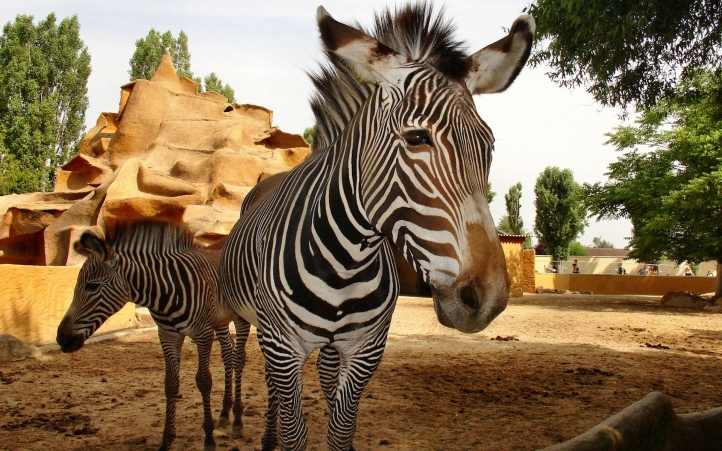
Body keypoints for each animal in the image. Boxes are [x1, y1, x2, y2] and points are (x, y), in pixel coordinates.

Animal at [55, 222, 250, 451]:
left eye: (92, 286)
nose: (61, 339)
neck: (165, 292)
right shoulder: (167, 335)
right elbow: (170, 384)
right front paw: (166, 441)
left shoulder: (202, 333)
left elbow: (204, 381)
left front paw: (209, 438)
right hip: (220, 320)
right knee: (228, 354)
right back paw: (225, 413)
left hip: (240, 315)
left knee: (238, 358)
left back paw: (237, 419)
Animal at [217, 4, 532, 451]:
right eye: (417, 138)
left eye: (487, 146)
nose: (486, 299)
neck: (345, 260)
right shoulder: (283, 347)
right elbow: (296, 432)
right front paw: (280, 434)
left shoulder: (366, 350)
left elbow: (341, 428)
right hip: (247, 319)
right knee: (249, 365)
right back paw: (244, 424)